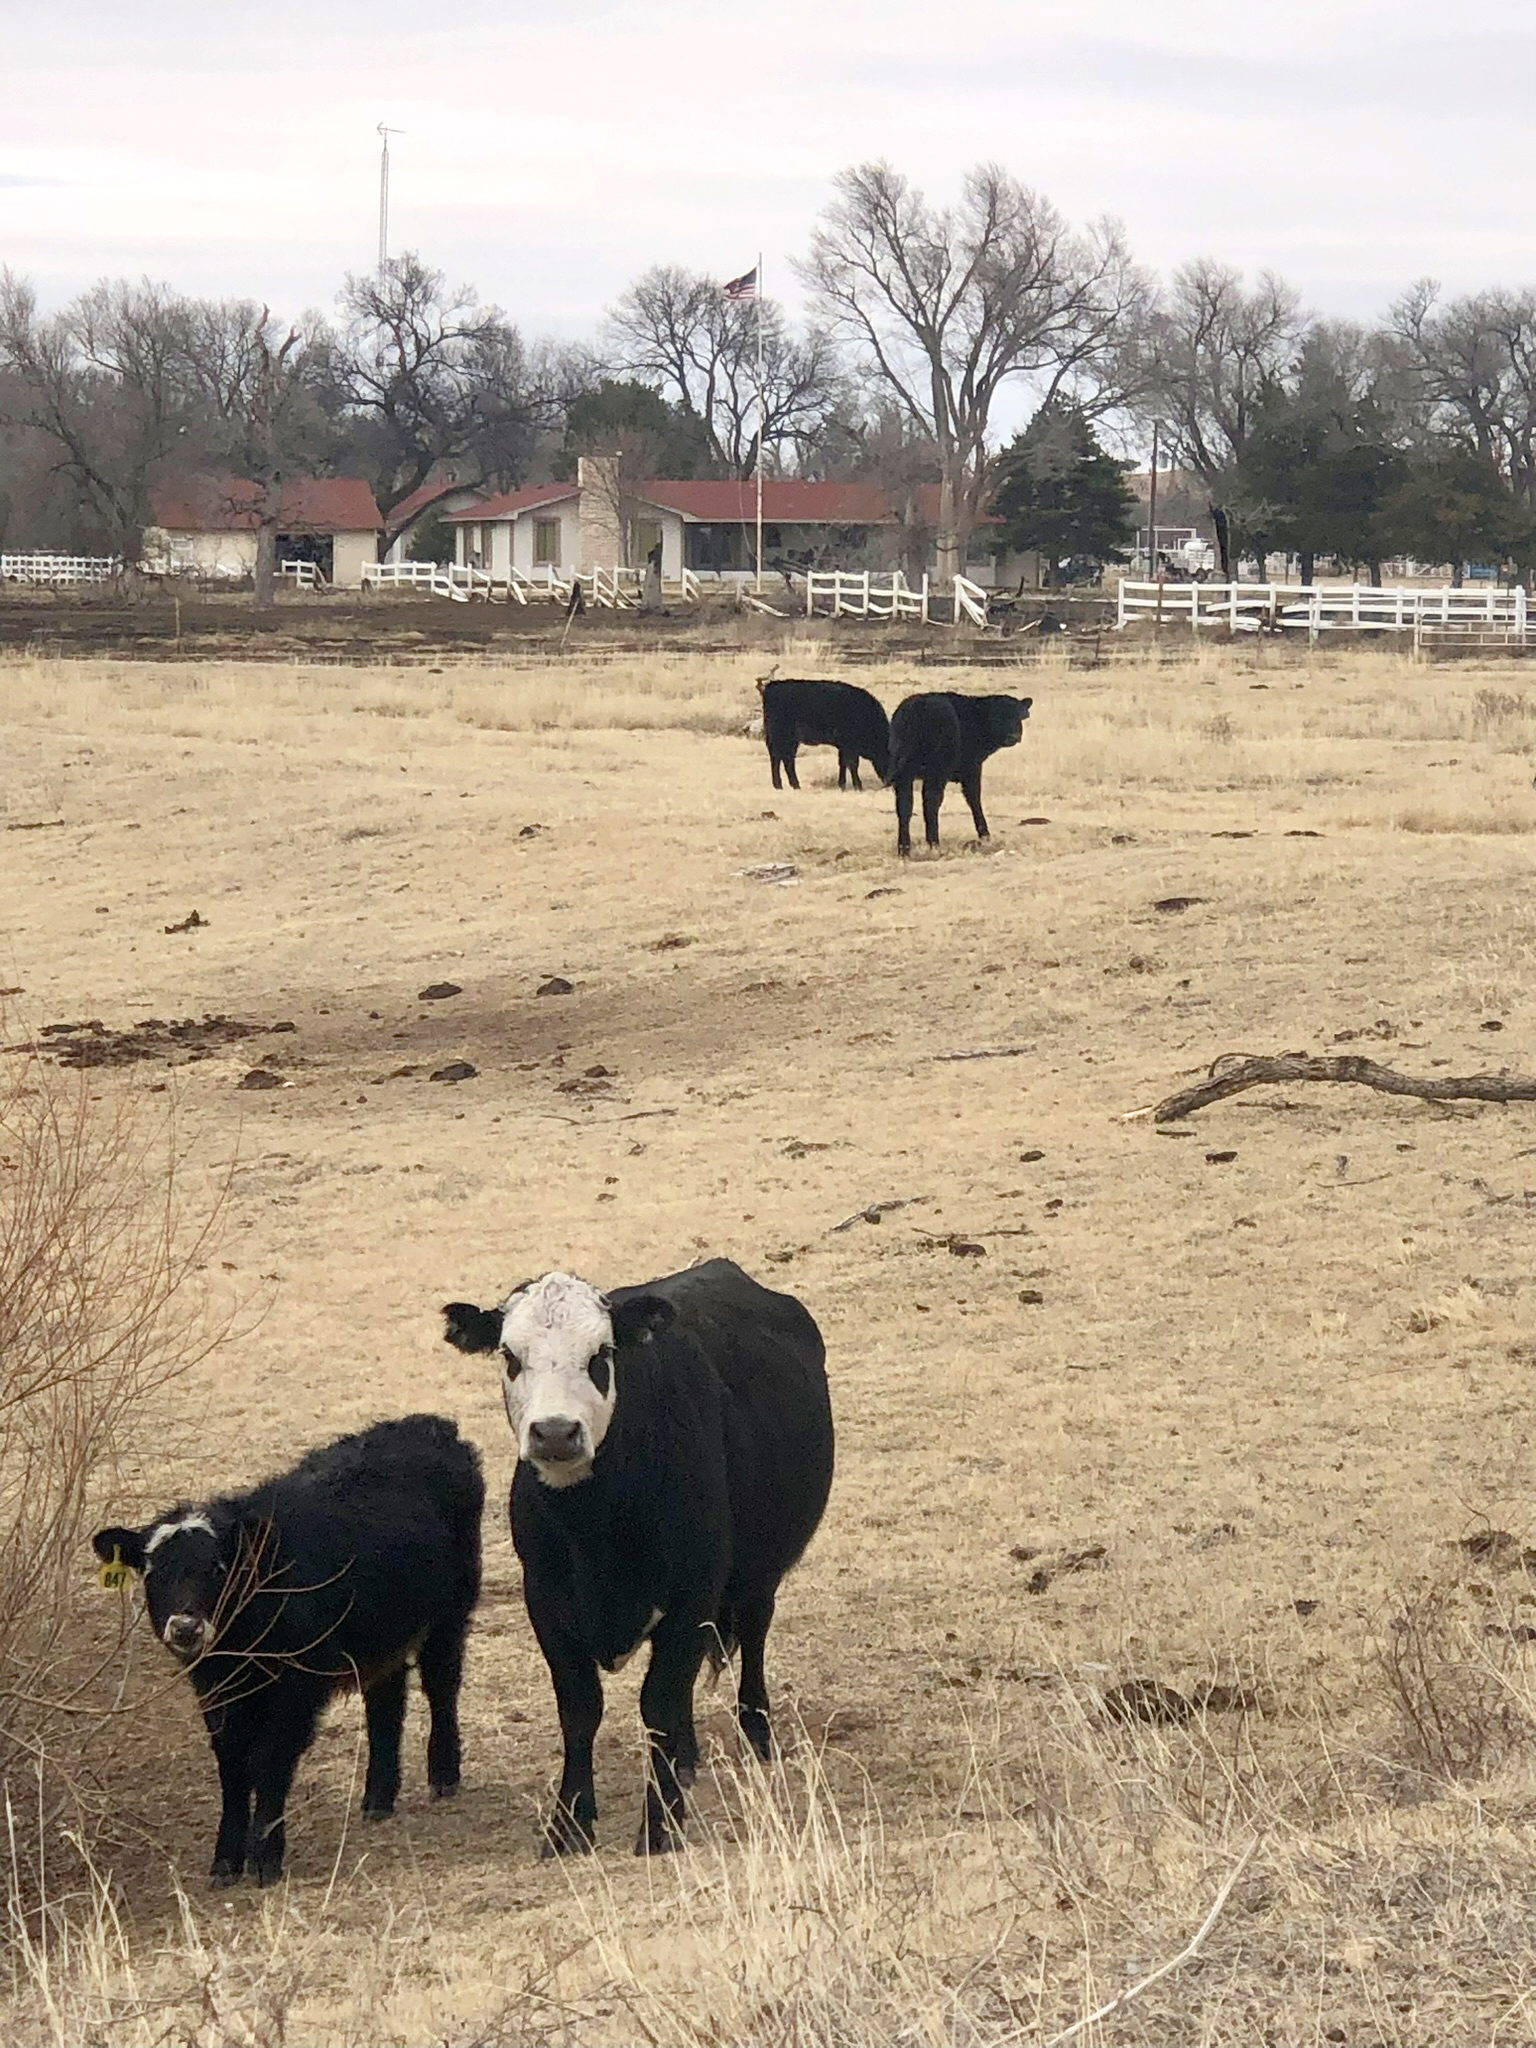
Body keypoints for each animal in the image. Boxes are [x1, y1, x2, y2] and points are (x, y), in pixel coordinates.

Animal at [91, 1415, 483, 1886]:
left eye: (218, 1568)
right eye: (153, 1573)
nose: (185, 1626)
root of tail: (430, 1425)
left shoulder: (297, 1690)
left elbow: (269, 1761)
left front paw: (266, 1856)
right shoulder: (216, 1694)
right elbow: (232, 1767)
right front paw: (226, 1860)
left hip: (449, 1615)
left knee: (441, 1687)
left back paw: (443, 1773)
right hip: (381, 1636)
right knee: (386, 1705)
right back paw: (378, 1797)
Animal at [443, 1258, 834, 1858]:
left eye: (601, 1353)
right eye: (510, 1355)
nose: (555, 1432)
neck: (595, 1528)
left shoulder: (692, 1596)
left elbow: (660, 1706)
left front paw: (661, 1823)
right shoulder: (546, 1603)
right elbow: (580, 1711)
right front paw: (568, 1826)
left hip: (758, 1574)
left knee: (754, 1634)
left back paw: (756, 1733)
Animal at [758, 677, 891, 791]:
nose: (888, 783)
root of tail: (772, 687)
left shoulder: (844, 747)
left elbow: (843, 763)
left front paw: (842, 785)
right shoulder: (850, 746)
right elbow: (852, 764)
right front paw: (858, 786)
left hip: (790, 740)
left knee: (785, 758)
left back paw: (791, 785)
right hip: (782, 736)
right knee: (779, 758)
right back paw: (782, 785)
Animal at [886, 690, 1032, 855]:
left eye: (1019, 715)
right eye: (999, 715)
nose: (1014, 736)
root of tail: (917, 707)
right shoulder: (972, 768)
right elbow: (974, 799)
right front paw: (985, 835)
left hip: (904, 773)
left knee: (904, 806)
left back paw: (904, 848)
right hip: (936, 771)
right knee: (931, 803)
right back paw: (934, 843)